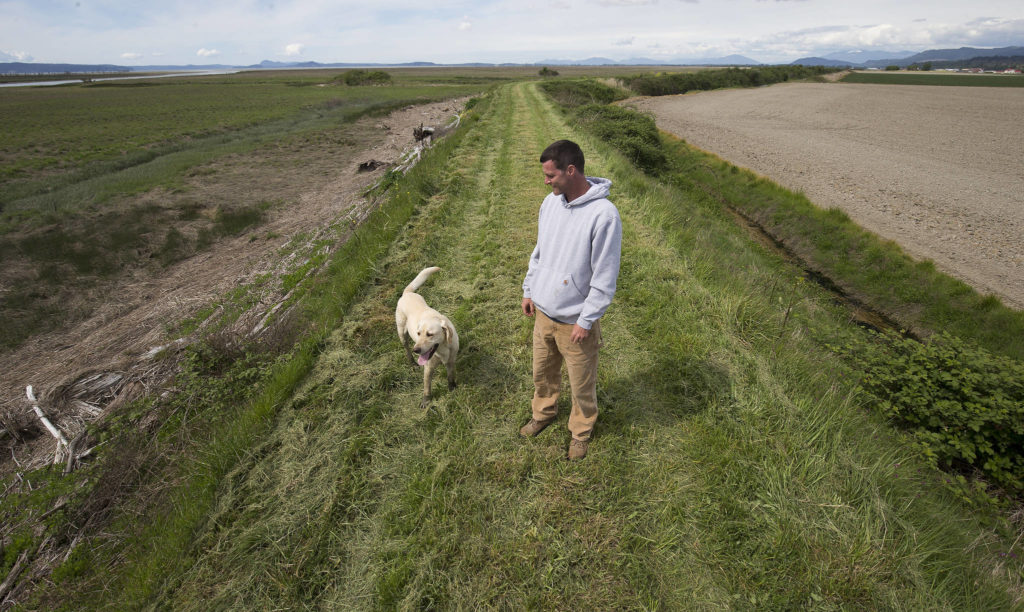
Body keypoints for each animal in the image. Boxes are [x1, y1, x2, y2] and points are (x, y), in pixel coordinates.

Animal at [393, 268, 458, 407]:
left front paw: (452, 388)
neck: (442, 350)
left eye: (430, 334)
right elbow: (427, 386)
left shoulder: (451, 361)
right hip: (402, 334)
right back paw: (412, 361)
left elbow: (450, 376)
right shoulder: (428, 368)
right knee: (406, 347)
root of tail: (407, 293)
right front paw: (426, 401)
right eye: (418, 333)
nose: (416, 350)